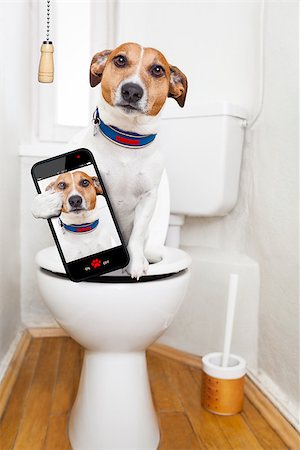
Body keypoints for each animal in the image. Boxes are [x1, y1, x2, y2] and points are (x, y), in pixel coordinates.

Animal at [32, 41, 188, 278]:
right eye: (120, 59)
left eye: (157, 70)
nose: (132, 90)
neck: (126, 140)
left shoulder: (148, 197)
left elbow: (137, 235)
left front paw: (135, 263)